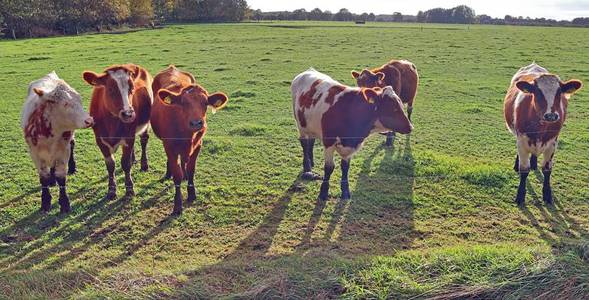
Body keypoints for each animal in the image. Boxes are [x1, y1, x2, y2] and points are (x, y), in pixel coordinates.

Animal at [21, 71, 94, 212]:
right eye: (65, 104)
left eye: (79, 100)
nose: (89, 120)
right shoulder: (35, 153)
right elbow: (43, 177)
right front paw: (45, 202)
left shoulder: (63, 151)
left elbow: (61, 177)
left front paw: (64, 202)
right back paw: (51, 180)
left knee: (72, 145)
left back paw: (71, 168)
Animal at [82, 63, 153, 199]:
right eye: (110, 89)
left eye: (132, 88)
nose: (128, 114)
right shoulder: (100, 140)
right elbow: (110, 165)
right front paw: (111, 189)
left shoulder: (129, 137)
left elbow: (125, 164)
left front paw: (129, 188)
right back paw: (133, 158)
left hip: (146, 124)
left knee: (144, 141)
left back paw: (144, 164)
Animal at [149, 66, 227, 216]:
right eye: (183, 103)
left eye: (205, 103)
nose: (196, 123)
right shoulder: (170, 146)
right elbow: (177, 176)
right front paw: (177, 205)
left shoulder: (198, 145)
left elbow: (191, 169)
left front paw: (191, 193)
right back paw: (168, 173)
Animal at [290, 68, 412, 202]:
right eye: (392, 107)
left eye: (400, 104)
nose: (410, 127)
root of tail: (308, 71)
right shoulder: (329, 142)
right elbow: (329, 168)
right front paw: (323, 192)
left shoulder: (350, 146)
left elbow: (345, 167)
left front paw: (345, 191)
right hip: (301, 125)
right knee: (305, 144)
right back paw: (307, 167)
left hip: (311, 126)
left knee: (311, 141)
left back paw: (311, 162)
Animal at [504, 62, 580, 205]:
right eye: (537, 92)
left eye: (559, 92)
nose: (551, 115)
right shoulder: (521, 141)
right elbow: (524, 170)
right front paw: (520, 195)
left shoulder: (552, 143)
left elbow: (547, 170)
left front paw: (547, 194)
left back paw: (534, 163)